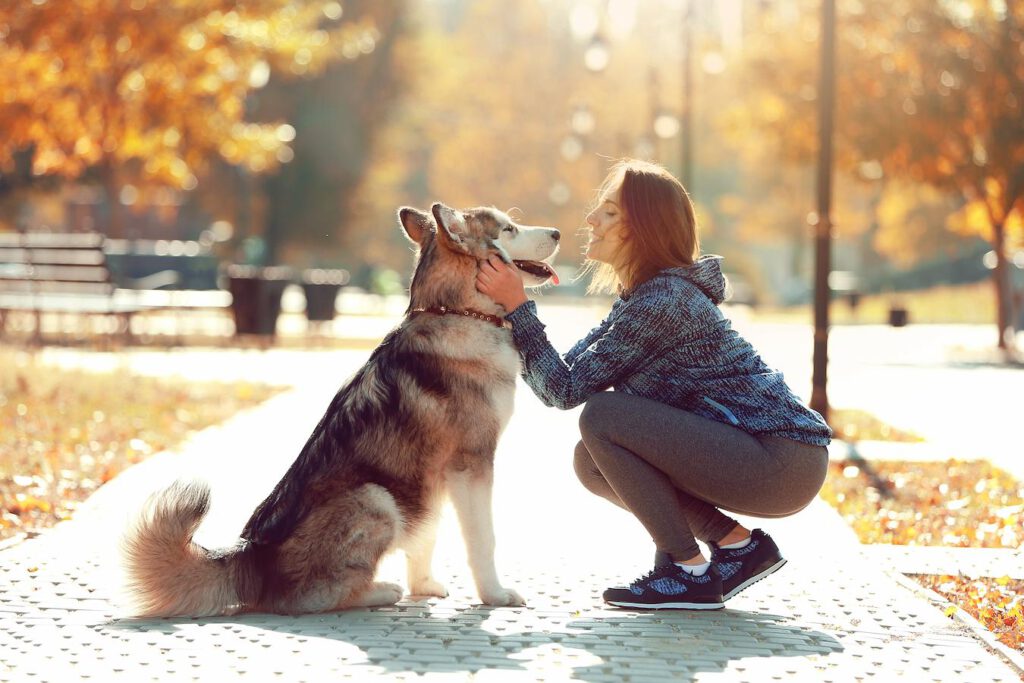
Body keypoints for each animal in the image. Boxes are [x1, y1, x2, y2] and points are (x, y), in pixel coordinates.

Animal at [123, 200, 565, 618]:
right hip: (376, 499)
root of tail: (252, 555)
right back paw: (379, 591)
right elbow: (483, 540)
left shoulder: (430, 478)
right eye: (509, 229)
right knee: (308, 598)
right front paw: (495, 595)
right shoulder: (471, 464)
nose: (558, 232)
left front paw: (424, 586)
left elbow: (426, 534)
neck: (456, 312)